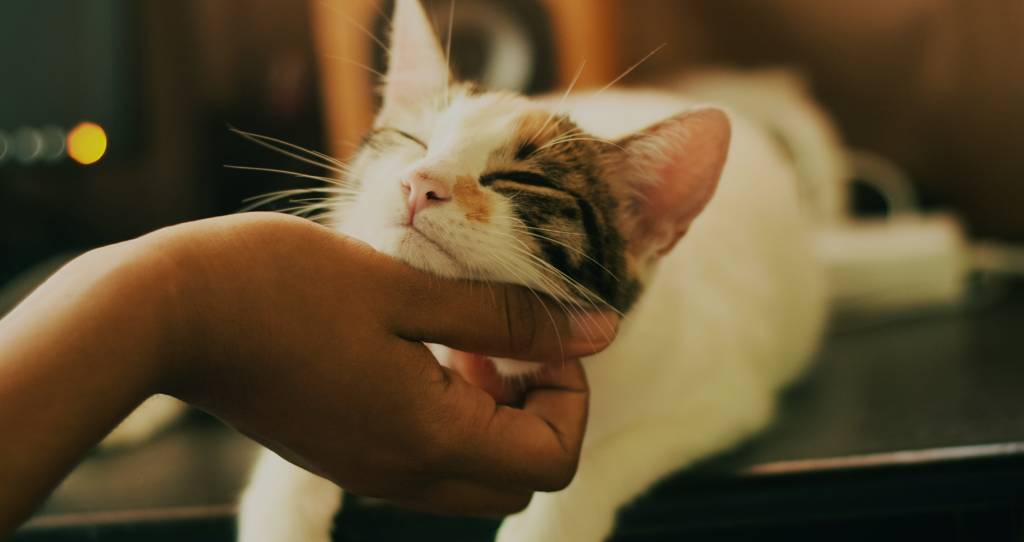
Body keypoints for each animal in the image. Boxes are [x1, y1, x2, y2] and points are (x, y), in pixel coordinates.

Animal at [235, 1, 827, 540]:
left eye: (521, 180)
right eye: (412, 141)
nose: (420, 181)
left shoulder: (722, 400)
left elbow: (597, 462)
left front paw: (547, 523)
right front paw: (281, 517)